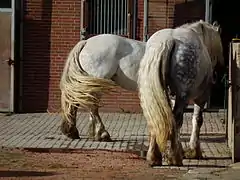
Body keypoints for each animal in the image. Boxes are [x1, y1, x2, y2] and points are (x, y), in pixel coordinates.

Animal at [138, 19, 224, 166]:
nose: (218, 74)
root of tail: (168, 41)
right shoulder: (200, 98)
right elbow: (197, 120)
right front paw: (193, 151)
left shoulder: (172, 97)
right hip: (183, 96)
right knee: (176, 119)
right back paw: (174, 157)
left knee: (157, 119)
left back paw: (154, 157)